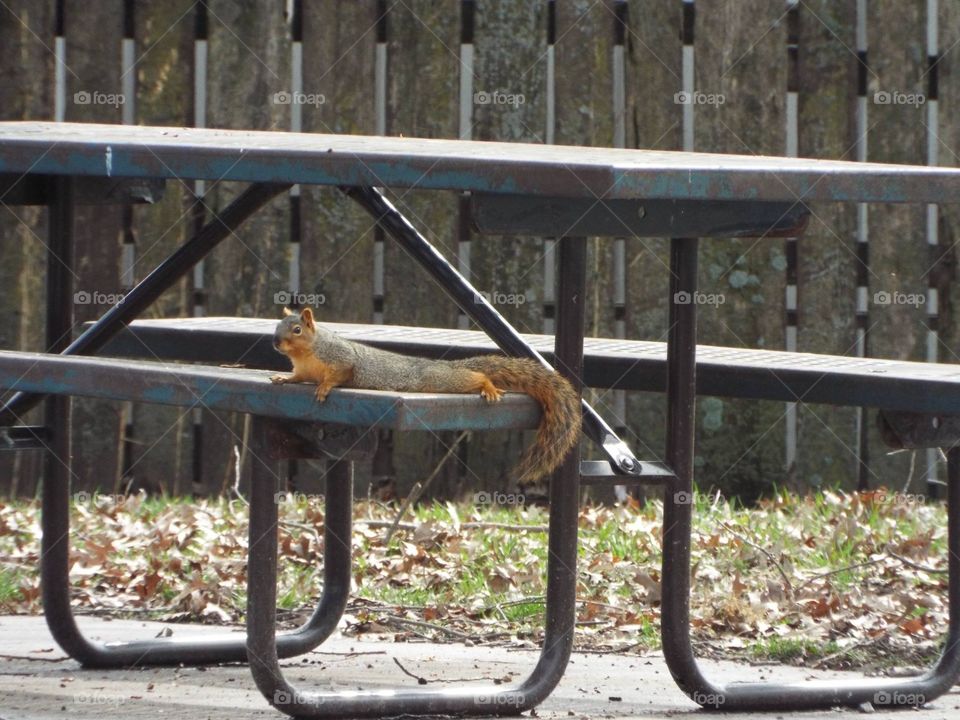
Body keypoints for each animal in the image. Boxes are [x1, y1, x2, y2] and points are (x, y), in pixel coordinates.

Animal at [271, 307, 581, 485]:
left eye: (296, 329)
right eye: (276, 326)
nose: (275, 342)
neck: (306, 354)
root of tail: (449, 367)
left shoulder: (341, 360)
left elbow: (339, 375)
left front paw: (325, 387)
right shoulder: (303, 370)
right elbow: (297, 377)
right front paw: (283, 379)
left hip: (444, 381)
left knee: (476, 377)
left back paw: (488, 386)